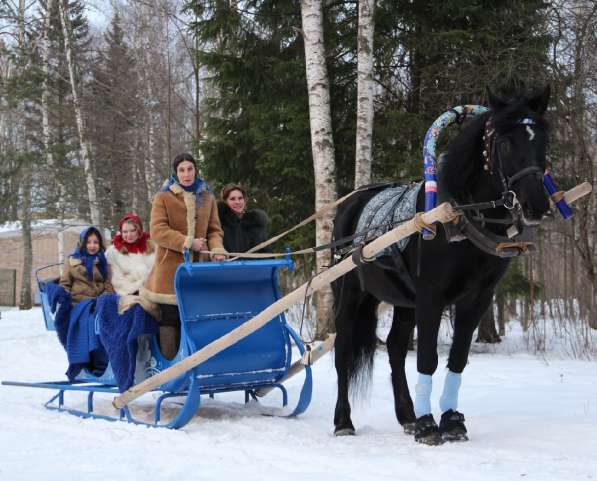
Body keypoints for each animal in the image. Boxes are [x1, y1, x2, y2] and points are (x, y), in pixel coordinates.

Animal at [330, 88, 548, 444]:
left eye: (543, 139)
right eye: (504, 144)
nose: (536, 205)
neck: (458, 216)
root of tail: (350, 203)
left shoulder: (477, 298)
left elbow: (457, 358)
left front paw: (450, 420)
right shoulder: (431, 297)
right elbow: (428, 358)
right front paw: (428, 425)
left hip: (404, 301)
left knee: (395, 348)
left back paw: (406, 415)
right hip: (348, 293)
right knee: (343, 353)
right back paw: (343, 421)